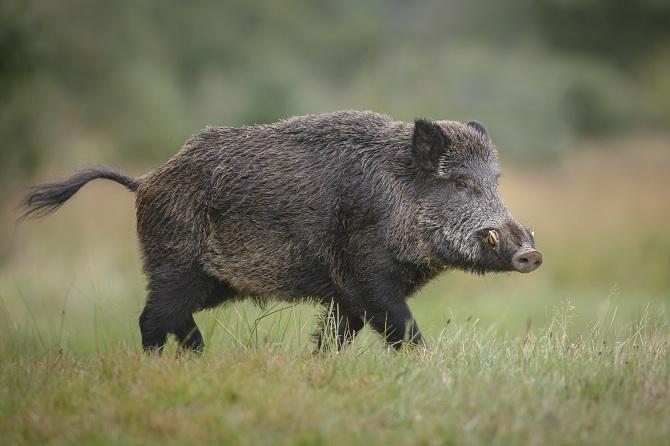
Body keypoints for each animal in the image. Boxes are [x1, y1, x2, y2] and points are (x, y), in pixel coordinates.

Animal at [21, 111, 542, 353]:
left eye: (495, 181)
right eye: (459, 183)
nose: (530, 254)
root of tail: (145, 180)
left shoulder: (346, 296)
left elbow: (334, 337)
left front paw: (316, 367)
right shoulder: (367, 278)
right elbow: (403, 330)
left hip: (210, 281)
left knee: (174, 319)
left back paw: (200, 359)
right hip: (174, 265)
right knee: (152, 318)